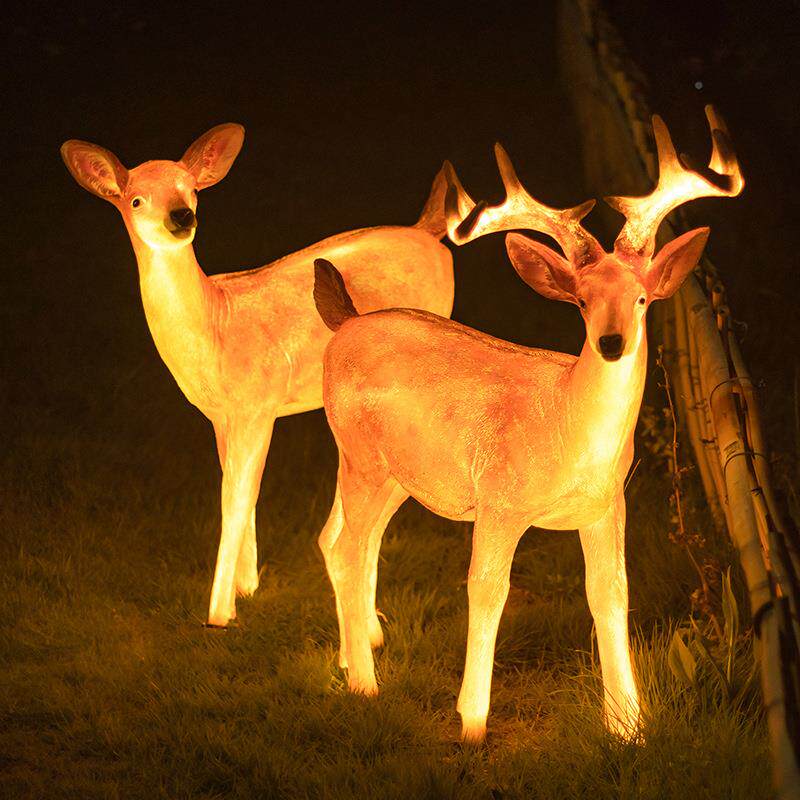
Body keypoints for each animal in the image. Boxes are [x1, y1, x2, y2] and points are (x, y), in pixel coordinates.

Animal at [61, 124, 455, 628]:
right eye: (135, 199)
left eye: (192, 190)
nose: (181, 216)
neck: (216, 326)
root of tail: (428, 232)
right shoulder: (221, 415)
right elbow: (240, 493)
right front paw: (246, 589)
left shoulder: (258, 405)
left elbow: (234, 500)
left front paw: (218, 614)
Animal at [312, 106, 742, 742]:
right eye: (582, 302)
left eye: (642, 298)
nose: (611, 343)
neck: (565, 431)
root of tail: (345, 323)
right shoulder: (498, 500)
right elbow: (487, 591)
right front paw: (472, 721)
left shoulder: (607, 504)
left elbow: (611, 594)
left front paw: (628, 725)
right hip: (359, 455)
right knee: (346, 546)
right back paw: (366, 685)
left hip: (396, 475)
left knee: (345, 540)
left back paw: (355, 652)